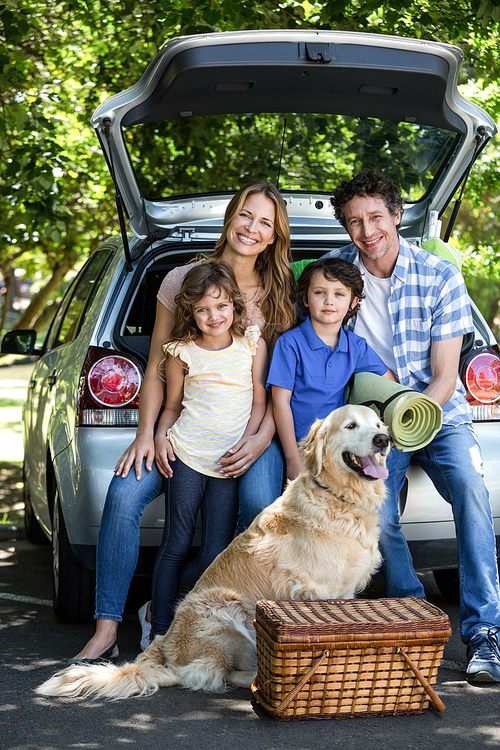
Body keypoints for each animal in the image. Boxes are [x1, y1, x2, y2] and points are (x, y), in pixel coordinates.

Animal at [37, 408, 390, 704]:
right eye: (350, 425)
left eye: (378, 424)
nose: (383, 440)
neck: (340, 500)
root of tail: (164, 645)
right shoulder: (312, 591)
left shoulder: (344, 593)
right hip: (227, 612)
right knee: (216, 673)